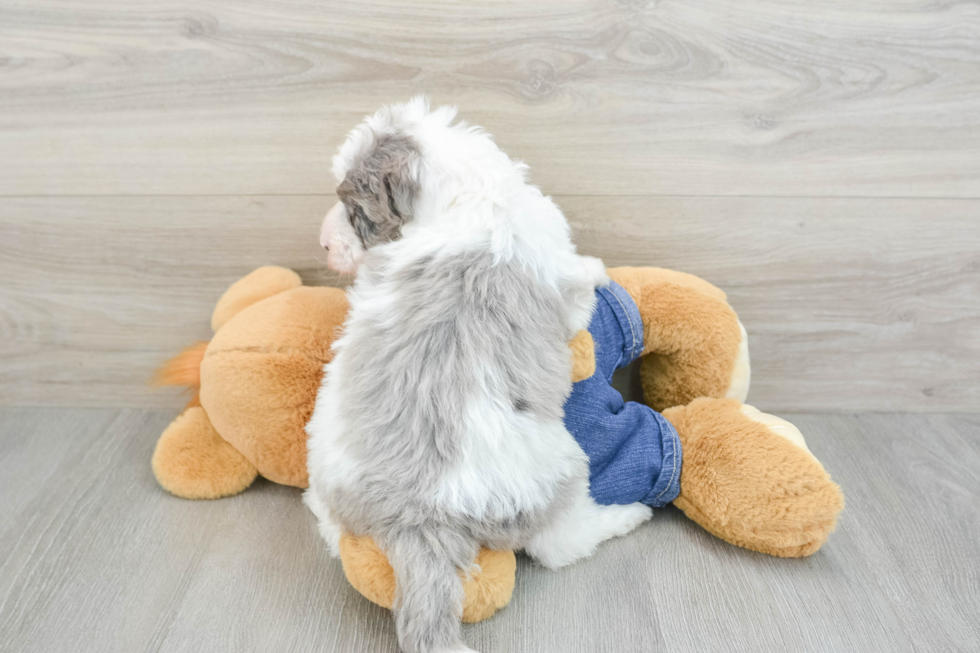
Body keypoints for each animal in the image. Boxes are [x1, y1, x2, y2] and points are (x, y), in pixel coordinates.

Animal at [302, 95, 648, 652]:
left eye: (354, 209)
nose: (323, 244)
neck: (463, 201)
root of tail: (417, 519)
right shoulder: (557, 273)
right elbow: (578, 285)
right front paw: (596, 269)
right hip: (563, 469)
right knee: (559, 545)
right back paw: (627, 515)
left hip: (328, 456)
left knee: (337, 532)